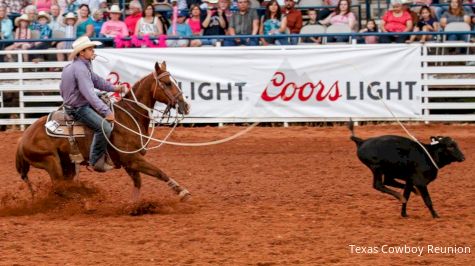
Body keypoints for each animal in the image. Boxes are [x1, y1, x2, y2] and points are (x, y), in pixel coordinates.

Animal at [15, 60, 192, 202]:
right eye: (168, 83)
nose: (186, 105)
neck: (128, 116)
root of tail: (22, 140)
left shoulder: (129, 163)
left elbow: (138, 182)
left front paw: (135, 206)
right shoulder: (132, 159)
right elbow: (159, 172)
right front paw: (182, 192)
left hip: (67, 164)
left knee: (64, 186)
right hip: (50, 161)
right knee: (59, 187)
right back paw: (84, 202)